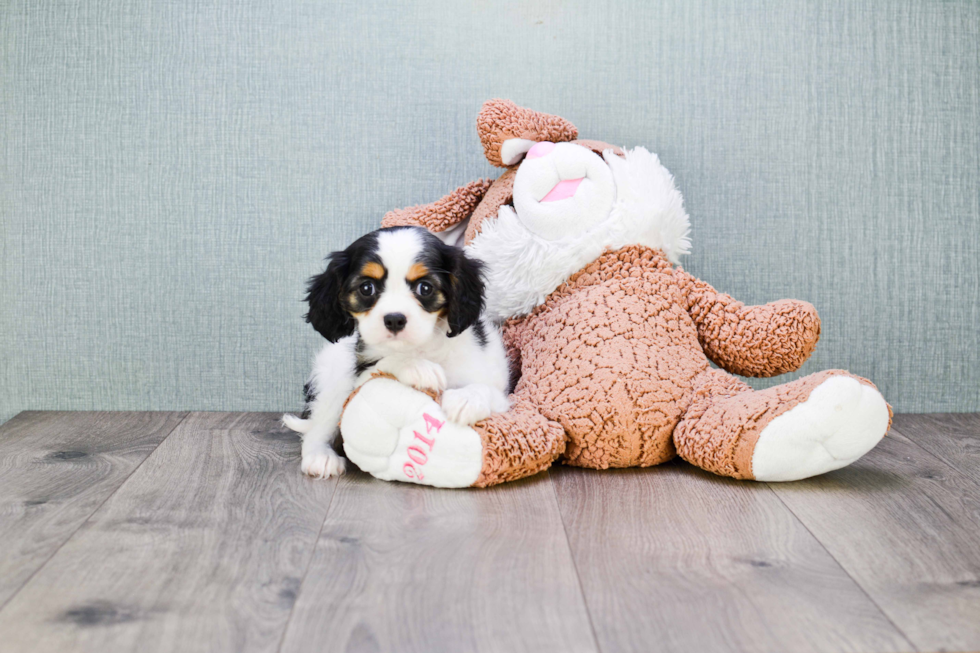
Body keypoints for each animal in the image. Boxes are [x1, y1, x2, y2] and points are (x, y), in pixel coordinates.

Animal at [282, 227, 510, 476]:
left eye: (425, 288)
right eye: (367, 288)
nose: (394, 319)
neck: (422, 348)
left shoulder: (499, 393)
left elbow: (484, 389)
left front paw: (465, 399)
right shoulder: (359, 377)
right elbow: (387, 362)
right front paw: (417, 368)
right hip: (332, 382)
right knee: (318, 425)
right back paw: (320, 456)